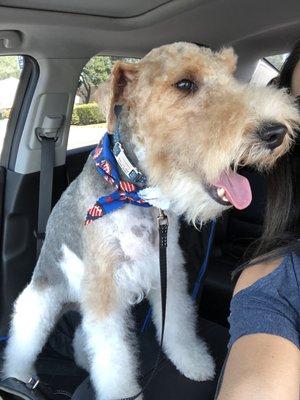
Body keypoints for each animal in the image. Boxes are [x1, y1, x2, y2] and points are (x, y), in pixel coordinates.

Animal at [2, 42, 300, 398]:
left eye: (231, 75)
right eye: (184, 84)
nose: (276, 132)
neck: (134, 193)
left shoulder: (167, 271)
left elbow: (178, 327)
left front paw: (194, 363)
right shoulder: (104, 293)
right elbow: (114, 359)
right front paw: (122, 393)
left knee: (82, 339)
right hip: (40, 304)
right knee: (22, 344)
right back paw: (17, 377)